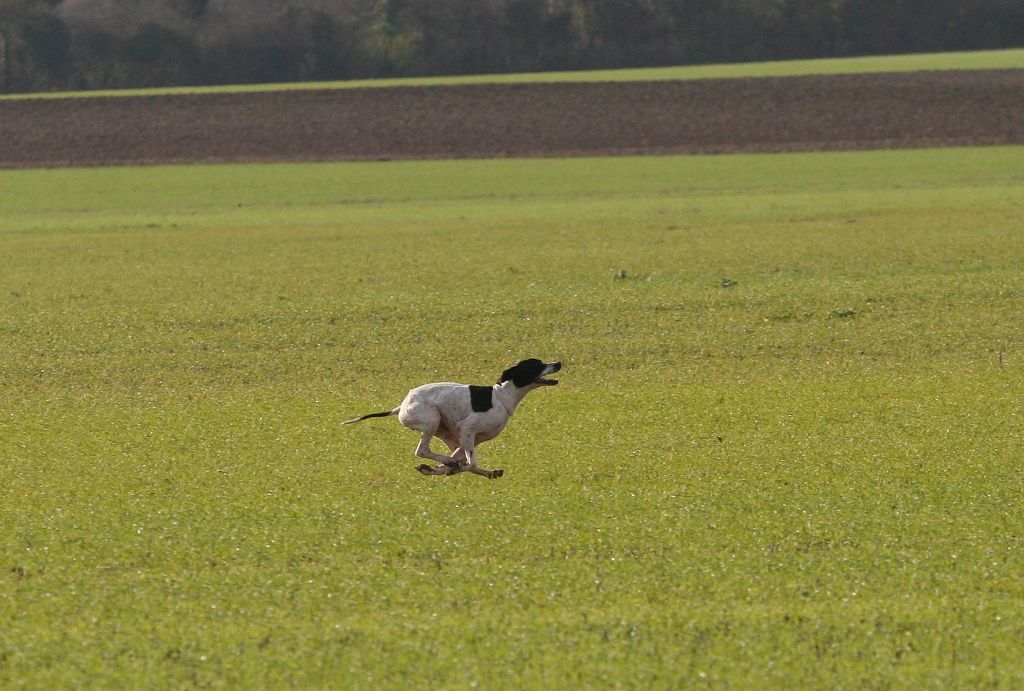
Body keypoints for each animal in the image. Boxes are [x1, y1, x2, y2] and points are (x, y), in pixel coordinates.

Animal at [348, 360, 565, 479]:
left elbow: (463, 460)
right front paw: (451, 468)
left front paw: (439, 469)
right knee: (423, 450)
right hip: (432, 419)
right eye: (537, 365)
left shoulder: (471, 439)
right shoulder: (467, 429)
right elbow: (471, 463)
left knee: (446, 456)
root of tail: (401, 406)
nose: (558, 363)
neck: (502, 396)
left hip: (446, 432)